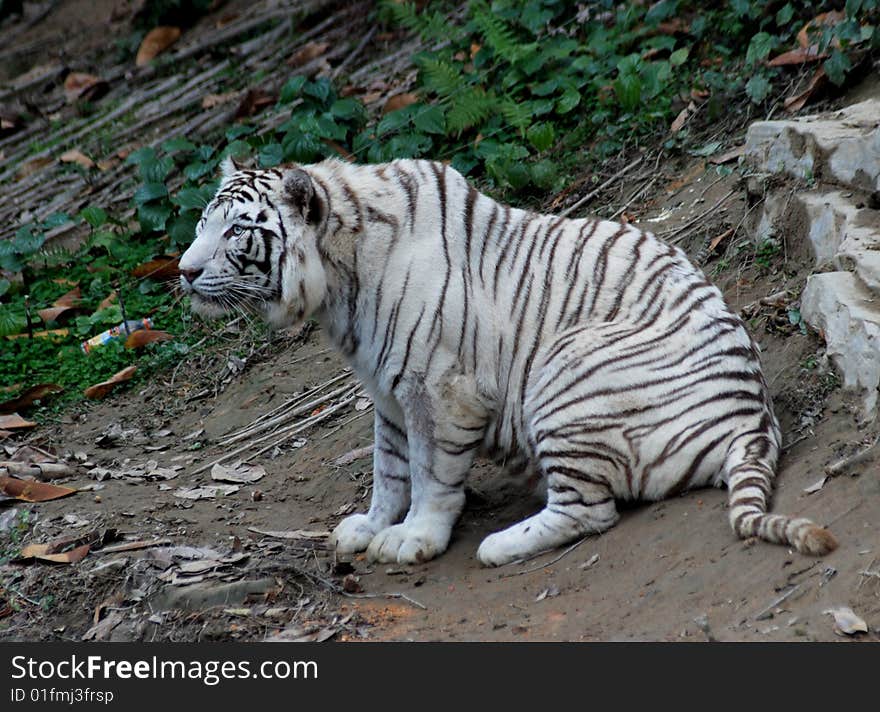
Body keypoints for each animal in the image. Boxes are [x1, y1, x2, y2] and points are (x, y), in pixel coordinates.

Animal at [179, 157, 840, 568]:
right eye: (202, 223)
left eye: (236, 231)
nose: (183, 272)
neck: (338, 281)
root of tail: (756, 420)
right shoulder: (388, 393)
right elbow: (388, 468)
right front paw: (370, 525)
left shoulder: (440, 390)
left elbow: (429, 473)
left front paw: (412, 539)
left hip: (565, 370)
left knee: (590, 511)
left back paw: (498, 544)